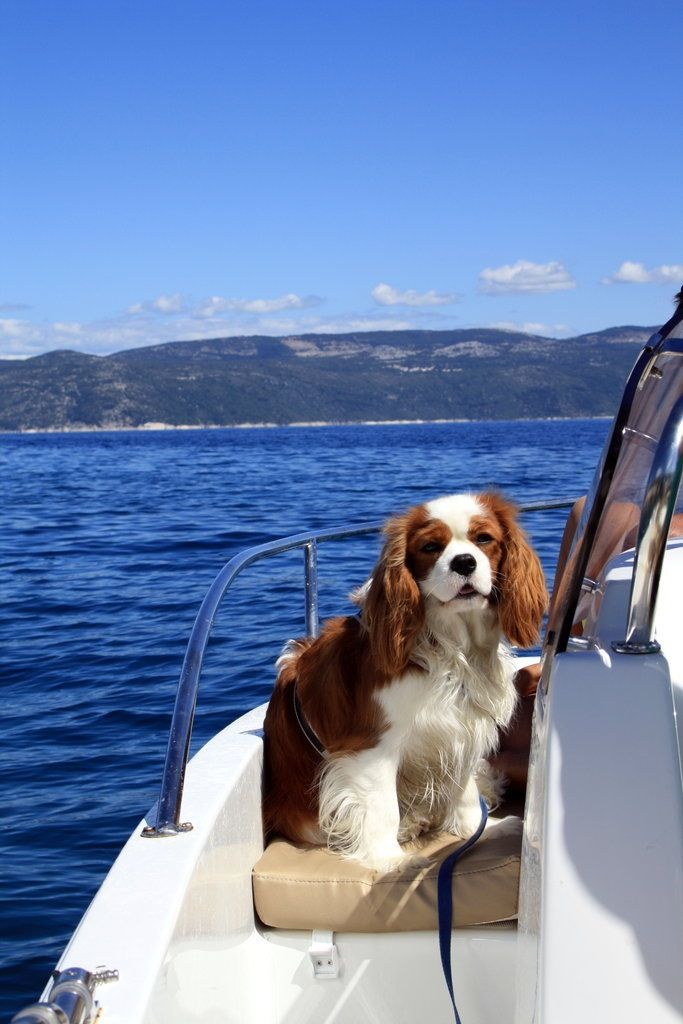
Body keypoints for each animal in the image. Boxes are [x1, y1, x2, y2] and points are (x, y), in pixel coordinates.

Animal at [264, 491, 548, 868]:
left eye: (484, 539)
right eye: (430, 547)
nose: (464, 563)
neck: (452, 645)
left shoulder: (462, 729)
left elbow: (465, 791)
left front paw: (479, 830)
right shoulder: (371, 747)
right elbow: (382, 809)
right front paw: (391, 863)